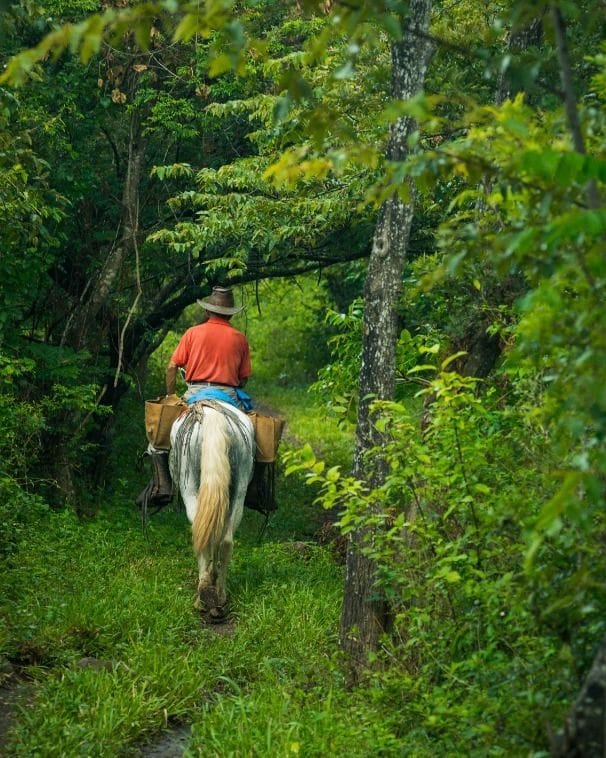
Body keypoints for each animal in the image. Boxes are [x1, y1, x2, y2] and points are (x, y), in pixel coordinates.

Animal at [170, 404, 255, 624]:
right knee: (225, 540)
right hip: (239, 486)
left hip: (189, 483)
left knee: (199, 532)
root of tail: (212, 416)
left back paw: (203, 596)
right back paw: (220, 598)